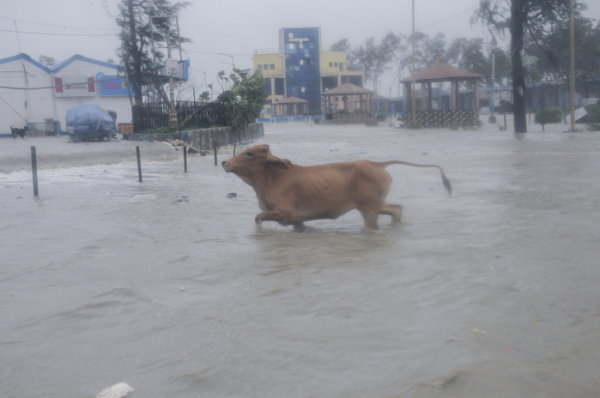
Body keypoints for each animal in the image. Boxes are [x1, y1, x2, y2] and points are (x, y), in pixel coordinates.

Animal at [221, 144, 450, 232]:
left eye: (250, 153)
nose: (224, 162)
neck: (272, 178)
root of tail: (377, 164)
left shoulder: (285, 213)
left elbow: (258, 217)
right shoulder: (297, 221)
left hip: (369, 209)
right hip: (374, 204)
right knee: (396, 208)